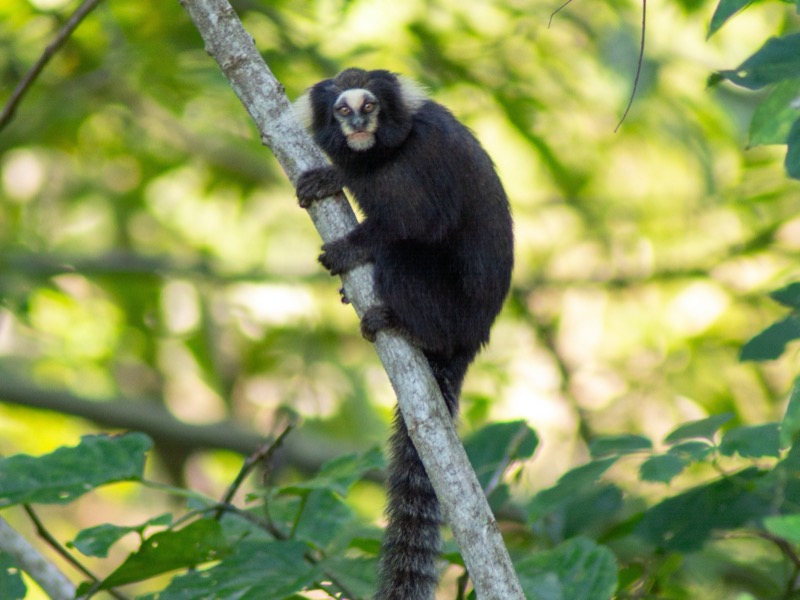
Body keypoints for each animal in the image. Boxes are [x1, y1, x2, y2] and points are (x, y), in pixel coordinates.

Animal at [294, 70, 512, 600]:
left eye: (369, 106)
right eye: (342, 110)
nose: (357, 124)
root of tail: (472, 339)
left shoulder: (425, 156)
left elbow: (419, 221)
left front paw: (340, 184)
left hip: (447, 310)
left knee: (401, 252)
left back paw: (400, 323)